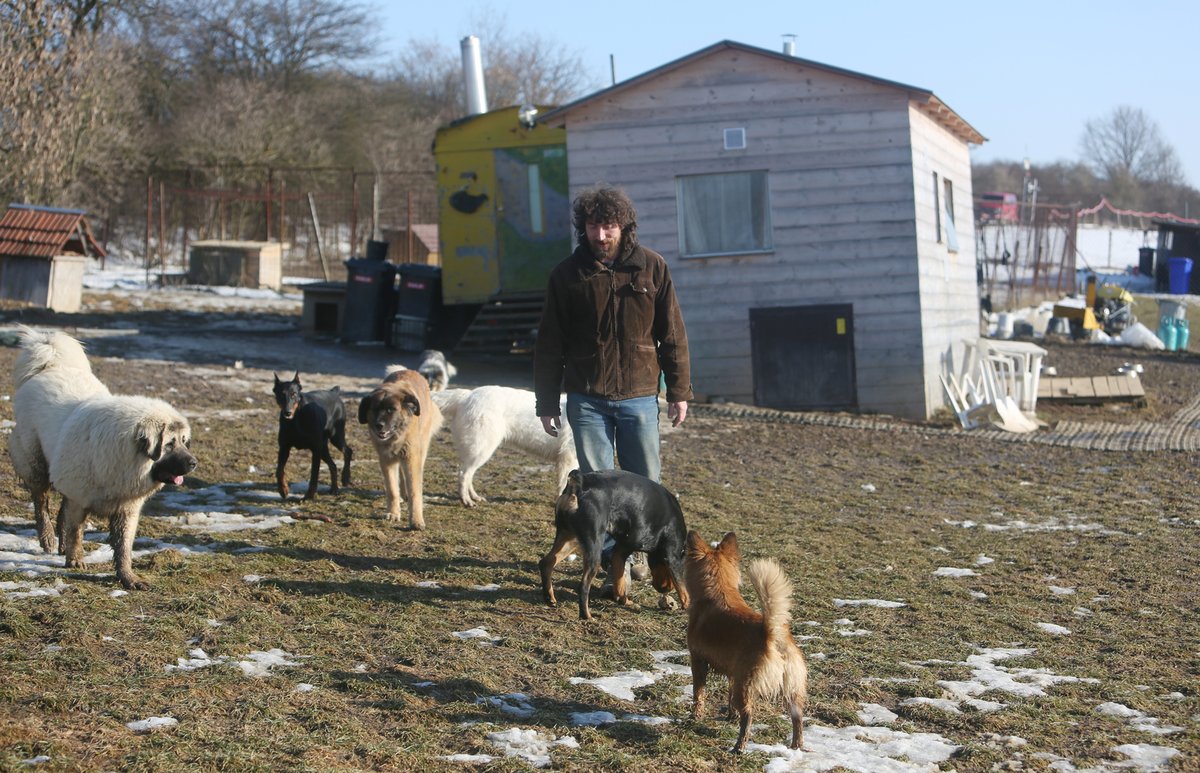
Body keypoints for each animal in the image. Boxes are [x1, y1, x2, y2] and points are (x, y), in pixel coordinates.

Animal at [8, 328, 195, 588]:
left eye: (184, 441)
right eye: (169, 444)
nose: (193, 463)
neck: (124, 456)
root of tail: (51, 365)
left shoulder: (126, 509)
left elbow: (123, 546)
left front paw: (128, 577)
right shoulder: (79, 498)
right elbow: (76, 530)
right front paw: (76, 559)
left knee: (60, 510)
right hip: (35, 462)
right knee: (41, 500)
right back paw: (48, 539)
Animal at [432, 386, 576, 506]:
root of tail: (467, 395)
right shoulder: (568, 458)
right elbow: (565, 485)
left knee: (468, 475)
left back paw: (474, 497)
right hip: (481, 450)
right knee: (464, 474)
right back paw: (466, 500)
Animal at [686, 530, 806, 753]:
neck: (720, 589)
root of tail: (772, 633)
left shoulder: (697, 661)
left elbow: (699, 693)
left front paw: (695, 716)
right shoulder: (733, 672)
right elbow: (729, 695)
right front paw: (730, 716)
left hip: (746, 685)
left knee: (749, 715)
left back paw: (739, 747)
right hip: (791, 689)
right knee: (797, 717)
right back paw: (796, 746)